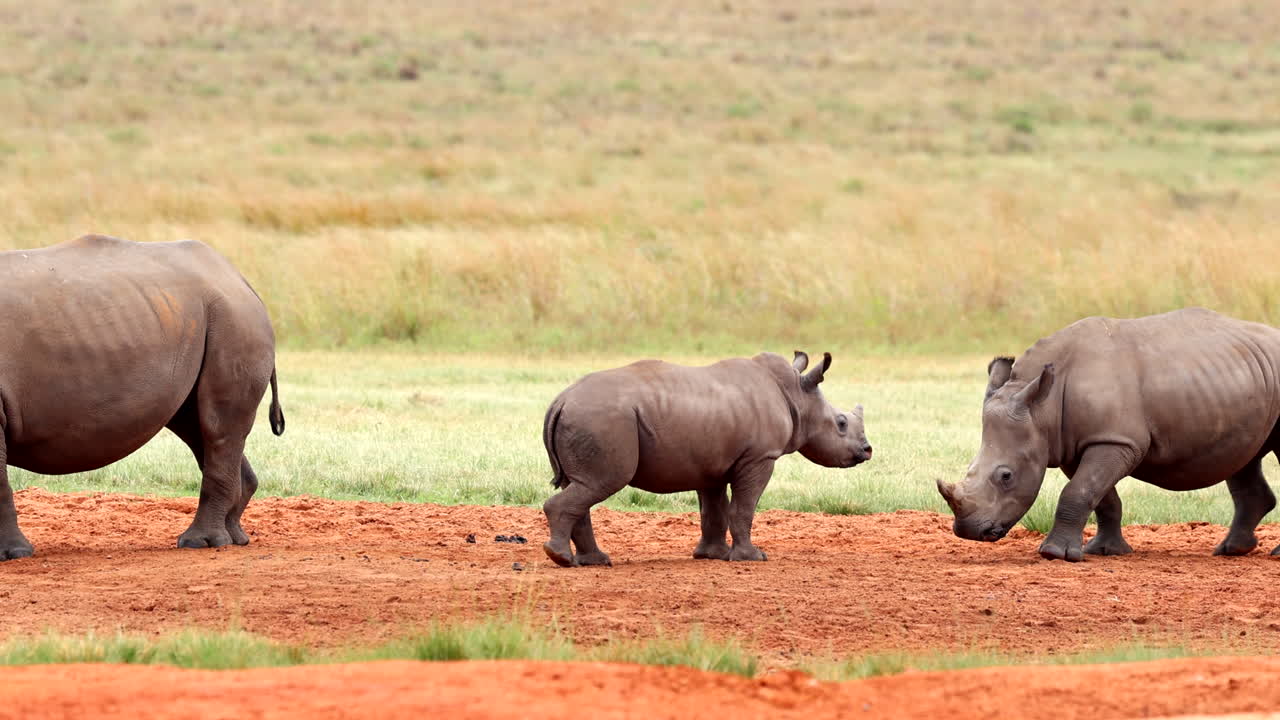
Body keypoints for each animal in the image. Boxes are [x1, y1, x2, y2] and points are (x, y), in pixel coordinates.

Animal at [0, 235, 284, 560]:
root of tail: (240, 279)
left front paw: (13, 554)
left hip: (232, 319)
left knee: (216, 427)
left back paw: (201, 543)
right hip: (200, 316)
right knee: (196, 425)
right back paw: (234, 539)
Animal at [540, 351, 872, 567]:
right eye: (841, 423)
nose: (868, 450)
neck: (796, 396)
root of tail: (560, 400)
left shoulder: (711, 463)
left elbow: (714, 511)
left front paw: (712, 556)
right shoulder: (759, 457)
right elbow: (743, 507)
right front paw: (752, 558)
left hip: (588, 418)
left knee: (583, 485)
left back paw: (592, 562)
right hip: (602, 419)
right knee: (601, 483)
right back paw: (562, 559)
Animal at [937, 308, 1280, 561]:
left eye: (1006, 476)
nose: (968, 531)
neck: (1043, 408)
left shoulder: (1115, 440)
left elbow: (1078, 491)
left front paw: (1054, 554)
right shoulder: (1075, 443)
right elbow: (1100, 496)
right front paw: (1104, 551)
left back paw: (1271, 555)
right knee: (1243, 458)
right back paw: (1231, 550)